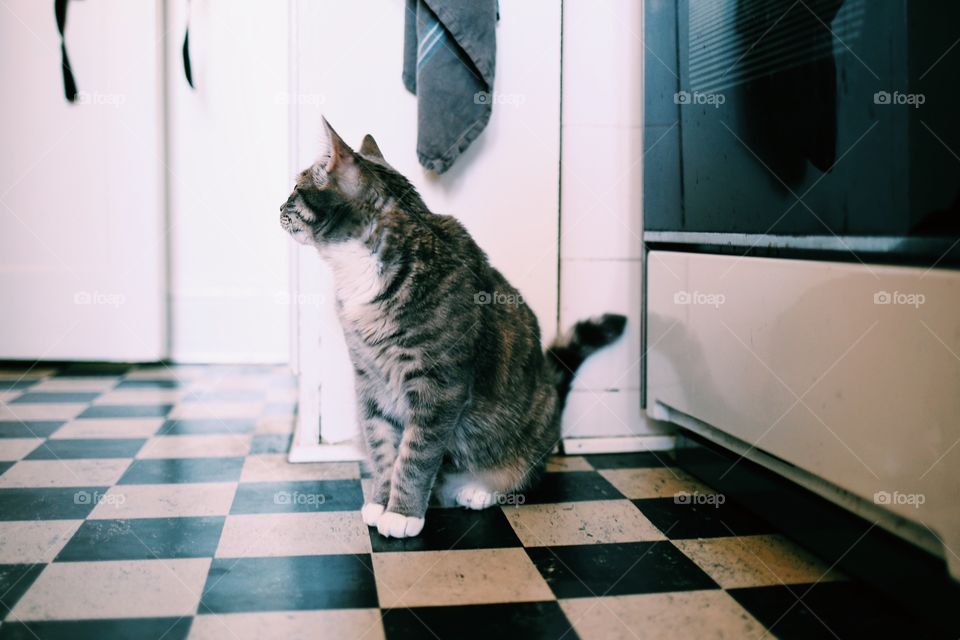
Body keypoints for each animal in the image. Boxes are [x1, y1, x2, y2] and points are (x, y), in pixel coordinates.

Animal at [282, 117, 628, 536]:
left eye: (296, 189)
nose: (278, 207)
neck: (362, 270)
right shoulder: (369, 382)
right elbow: (383, 450)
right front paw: (380, 501)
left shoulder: (438, 387)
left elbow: (414, 455)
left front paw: (402, 514)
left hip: (527, 428)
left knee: (520, 474)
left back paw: (478, 490)